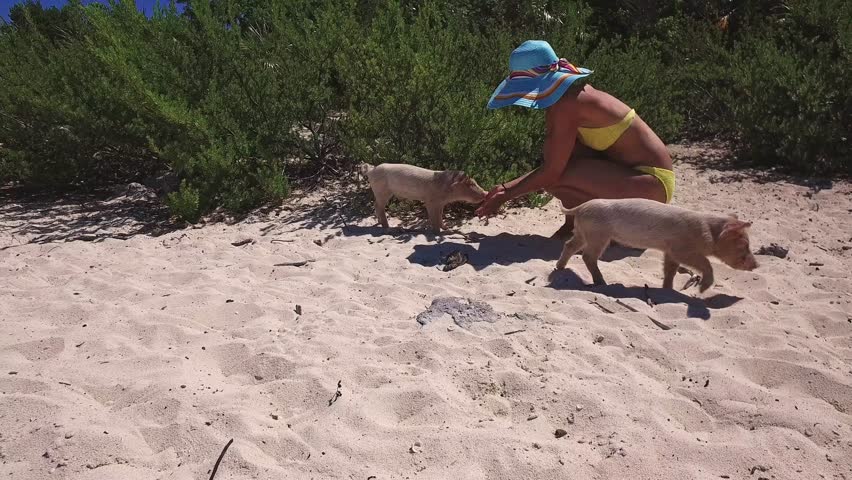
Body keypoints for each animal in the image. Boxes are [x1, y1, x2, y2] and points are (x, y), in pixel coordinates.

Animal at [358, 163, 487, 233]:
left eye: (474, 182)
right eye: (470, 184)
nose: (486, 193)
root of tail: (371, 170)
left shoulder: (441, 203)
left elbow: (440, 216)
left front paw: (447, 229)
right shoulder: (430, 201)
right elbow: (434, 217)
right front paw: (438, 233)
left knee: (375, 204)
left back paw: (380, 223)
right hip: (382, 190)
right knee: (379, 206)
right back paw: (388, 228)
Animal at [554, 198, 758, 292]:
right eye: (745, 244)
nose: (757, 265)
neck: (707, 231)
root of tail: (580, 207)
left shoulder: (670, 251)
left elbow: (670, 270)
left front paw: (668, 290)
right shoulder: (682, 248)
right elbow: (705, 264)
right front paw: (701, 290)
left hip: (583, 232)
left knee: (569, 245)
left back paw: (560, 268)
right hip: (599, 235)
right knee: (588, 256)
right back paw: (602, 283)